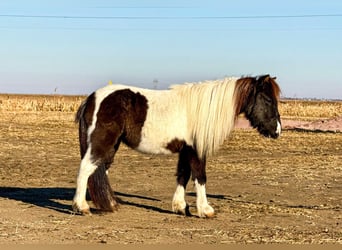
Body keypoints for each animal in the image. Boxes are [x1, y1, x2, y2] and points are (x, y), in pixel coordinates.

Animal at [71, 74, 280, 217]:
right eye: (268, 99)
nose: (277, 130)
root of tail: (91, 98)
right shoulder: (196, 150)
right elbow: (200, 176)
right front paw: (205, 210)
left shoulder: (185, 150)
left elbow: (183, 175)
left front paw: (180, 207)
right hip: (102, 142)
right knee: (86, 169)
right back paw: (82, 207)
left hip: (112, 145)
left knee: (101, 170)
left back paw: (111, 204)